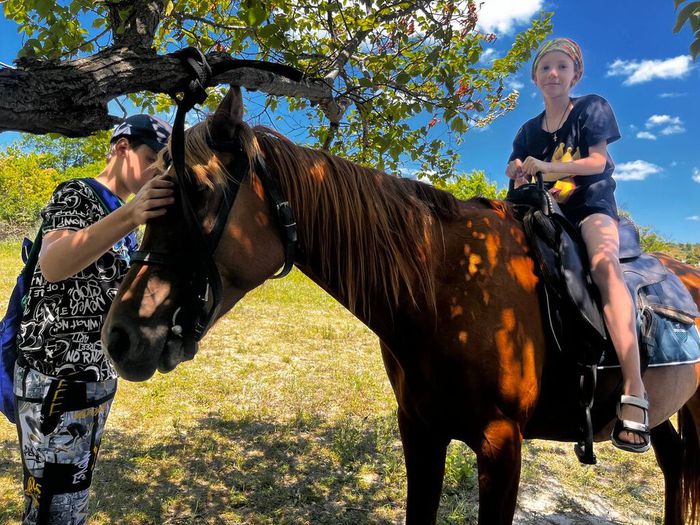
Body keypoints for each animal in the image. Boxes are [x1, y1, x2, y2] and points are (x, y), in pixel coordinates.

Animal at [102, 88, 700, 520]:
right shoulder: (419, 430)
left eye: (199, 191)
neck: (445, 291)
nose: (119, 337)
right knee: (676, 469)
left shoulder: (502, 446)